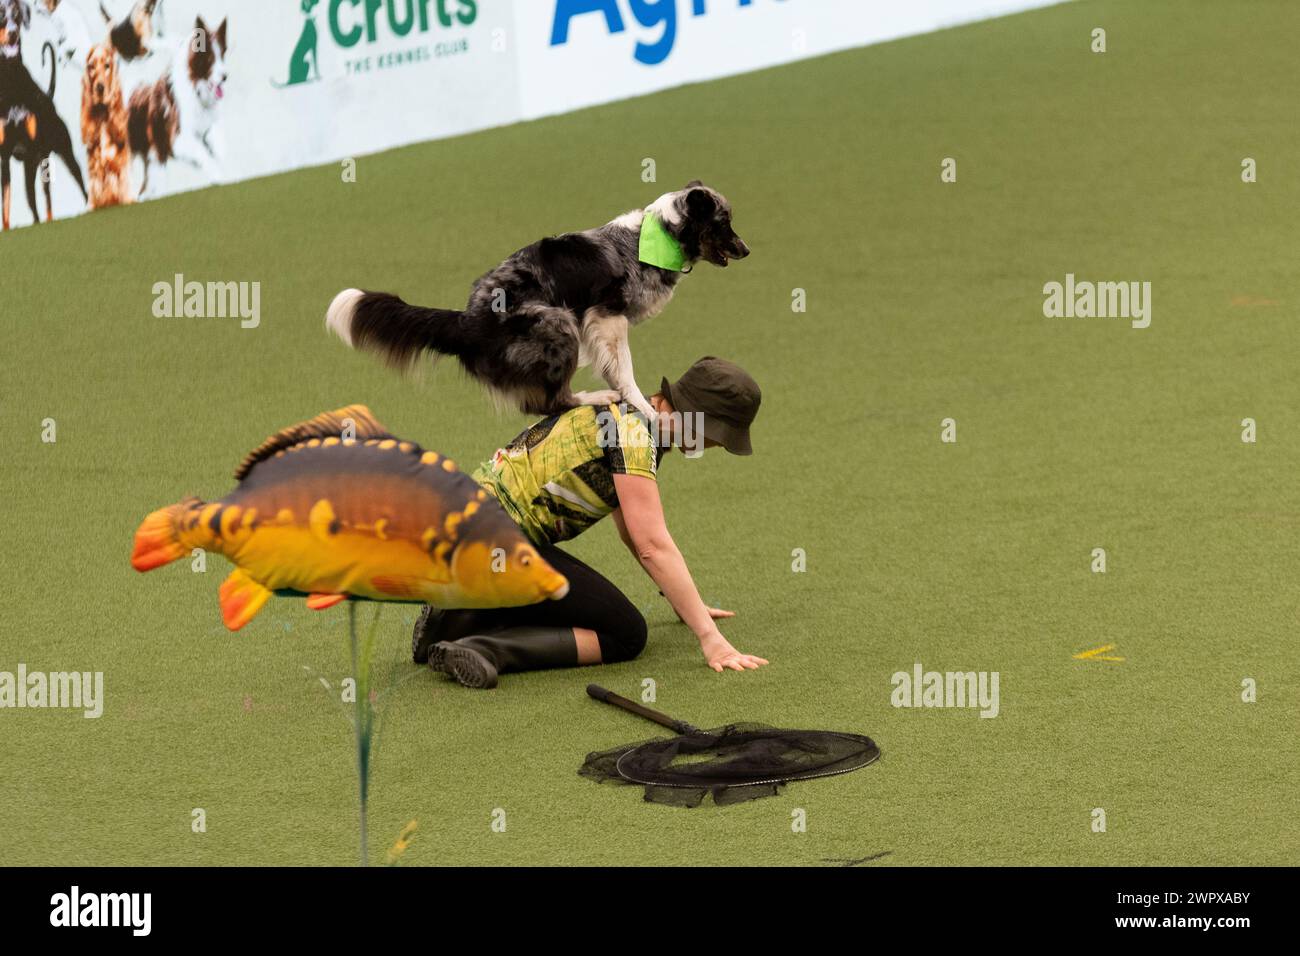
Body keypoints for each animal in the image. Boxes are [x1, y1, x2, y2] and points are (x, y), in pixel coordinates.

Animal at [327, 180, 754, 421]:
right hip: (555, 321)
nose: (747, 250)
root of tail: (466, 320)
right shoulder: (606, 317)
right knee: (549, 403)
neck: (658, 236)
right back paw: (594, 396)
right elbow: (626, 373)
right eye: (724, 222)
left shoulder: (598, 326)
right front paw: (645, 408)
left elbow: (611, 366)